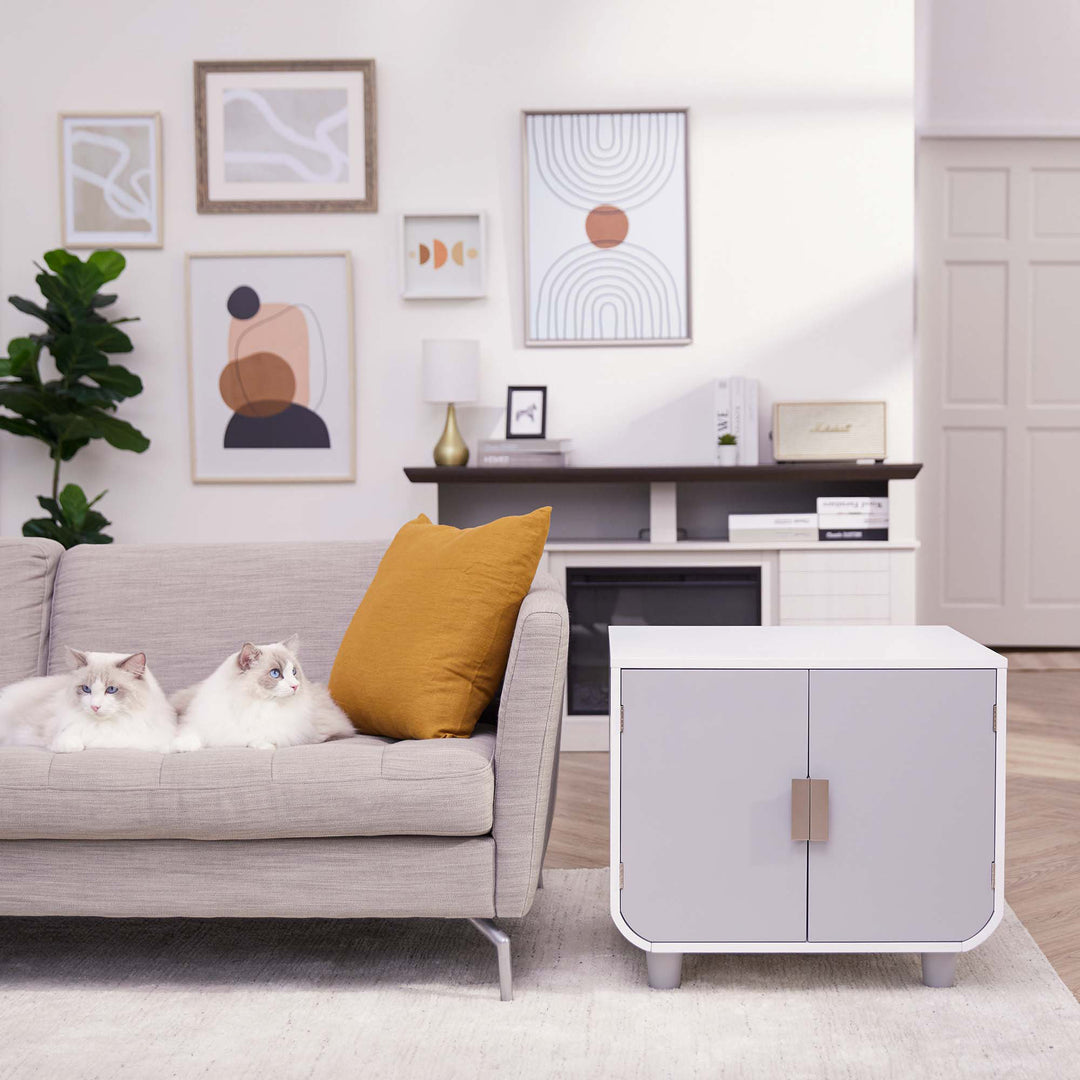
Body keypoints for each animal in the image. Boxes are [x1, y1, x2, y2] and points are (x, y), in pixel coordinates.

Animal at [170, 630, 352, 751]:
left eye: (293, 672)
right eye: (275, 673)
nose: (295, 686)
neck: (251, 704)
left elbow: (257, 738)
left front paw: (263, 745)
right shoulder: (202, 723)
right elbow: (192, 734)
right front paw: (180, 746)